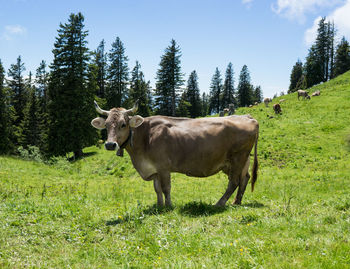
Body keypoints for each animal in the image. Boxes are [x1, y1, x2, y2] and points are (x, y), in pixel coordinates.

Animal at [91, 101, 258, 207]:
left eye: (123, 124)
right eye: (106, 125)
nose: (110, 144)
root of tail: (247, 117)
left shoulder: (164, 167)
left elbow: (166, 188)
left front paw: (169, 206)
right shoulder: (154, 170)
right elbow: (157, 188)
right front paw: (159, 206)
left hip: (238, 158)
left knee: (234, 182)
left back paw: (220, 203)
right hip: (234, 162)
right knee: (245, 178)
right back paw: (237, 202)